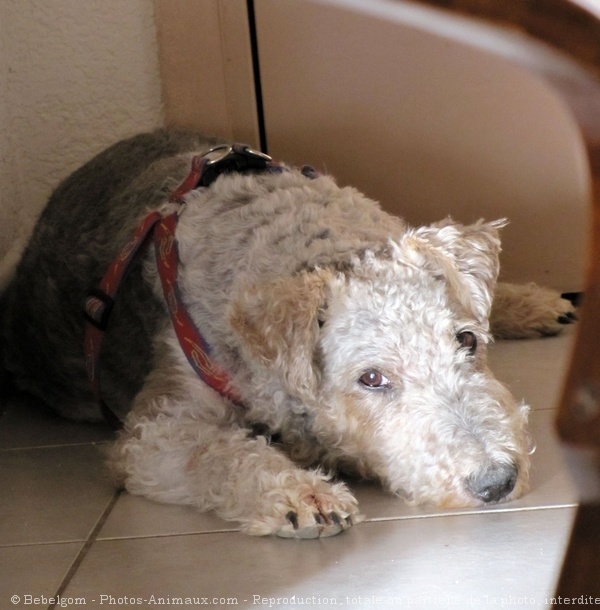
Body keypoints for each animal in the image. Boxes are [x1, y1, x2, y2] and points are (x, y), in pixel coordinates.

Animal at [0, 129, 576, 536]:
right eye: (371, 378)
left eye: (466, 341)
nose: (497, 481)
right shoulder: (156, 431)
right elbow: (222, 453)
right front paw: (306, 496)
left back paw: (539, 303)